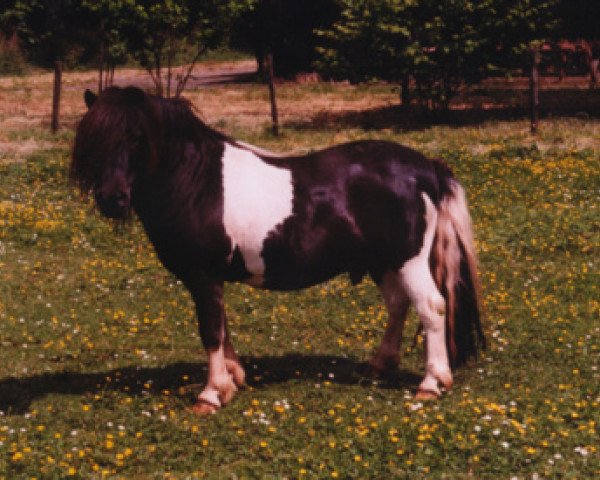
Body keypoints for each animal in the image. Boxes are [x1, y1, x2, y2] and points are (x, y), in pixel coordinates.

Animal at [71, 87, 482, 416]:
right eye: (94, 138)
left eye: (136, 137)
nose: (111, 199)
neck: (196, 181)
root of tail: (425, 167)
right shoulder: (212, 279)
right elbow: (222, 326)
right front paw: (232, 379)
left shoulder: (203, 275)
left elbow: (210, 330)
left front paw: (210, 394)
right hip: (383, 263)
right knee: (398, 305)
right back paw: (378, 366)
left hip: (407, 261)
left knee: (431, 306)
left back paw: (431, 384)